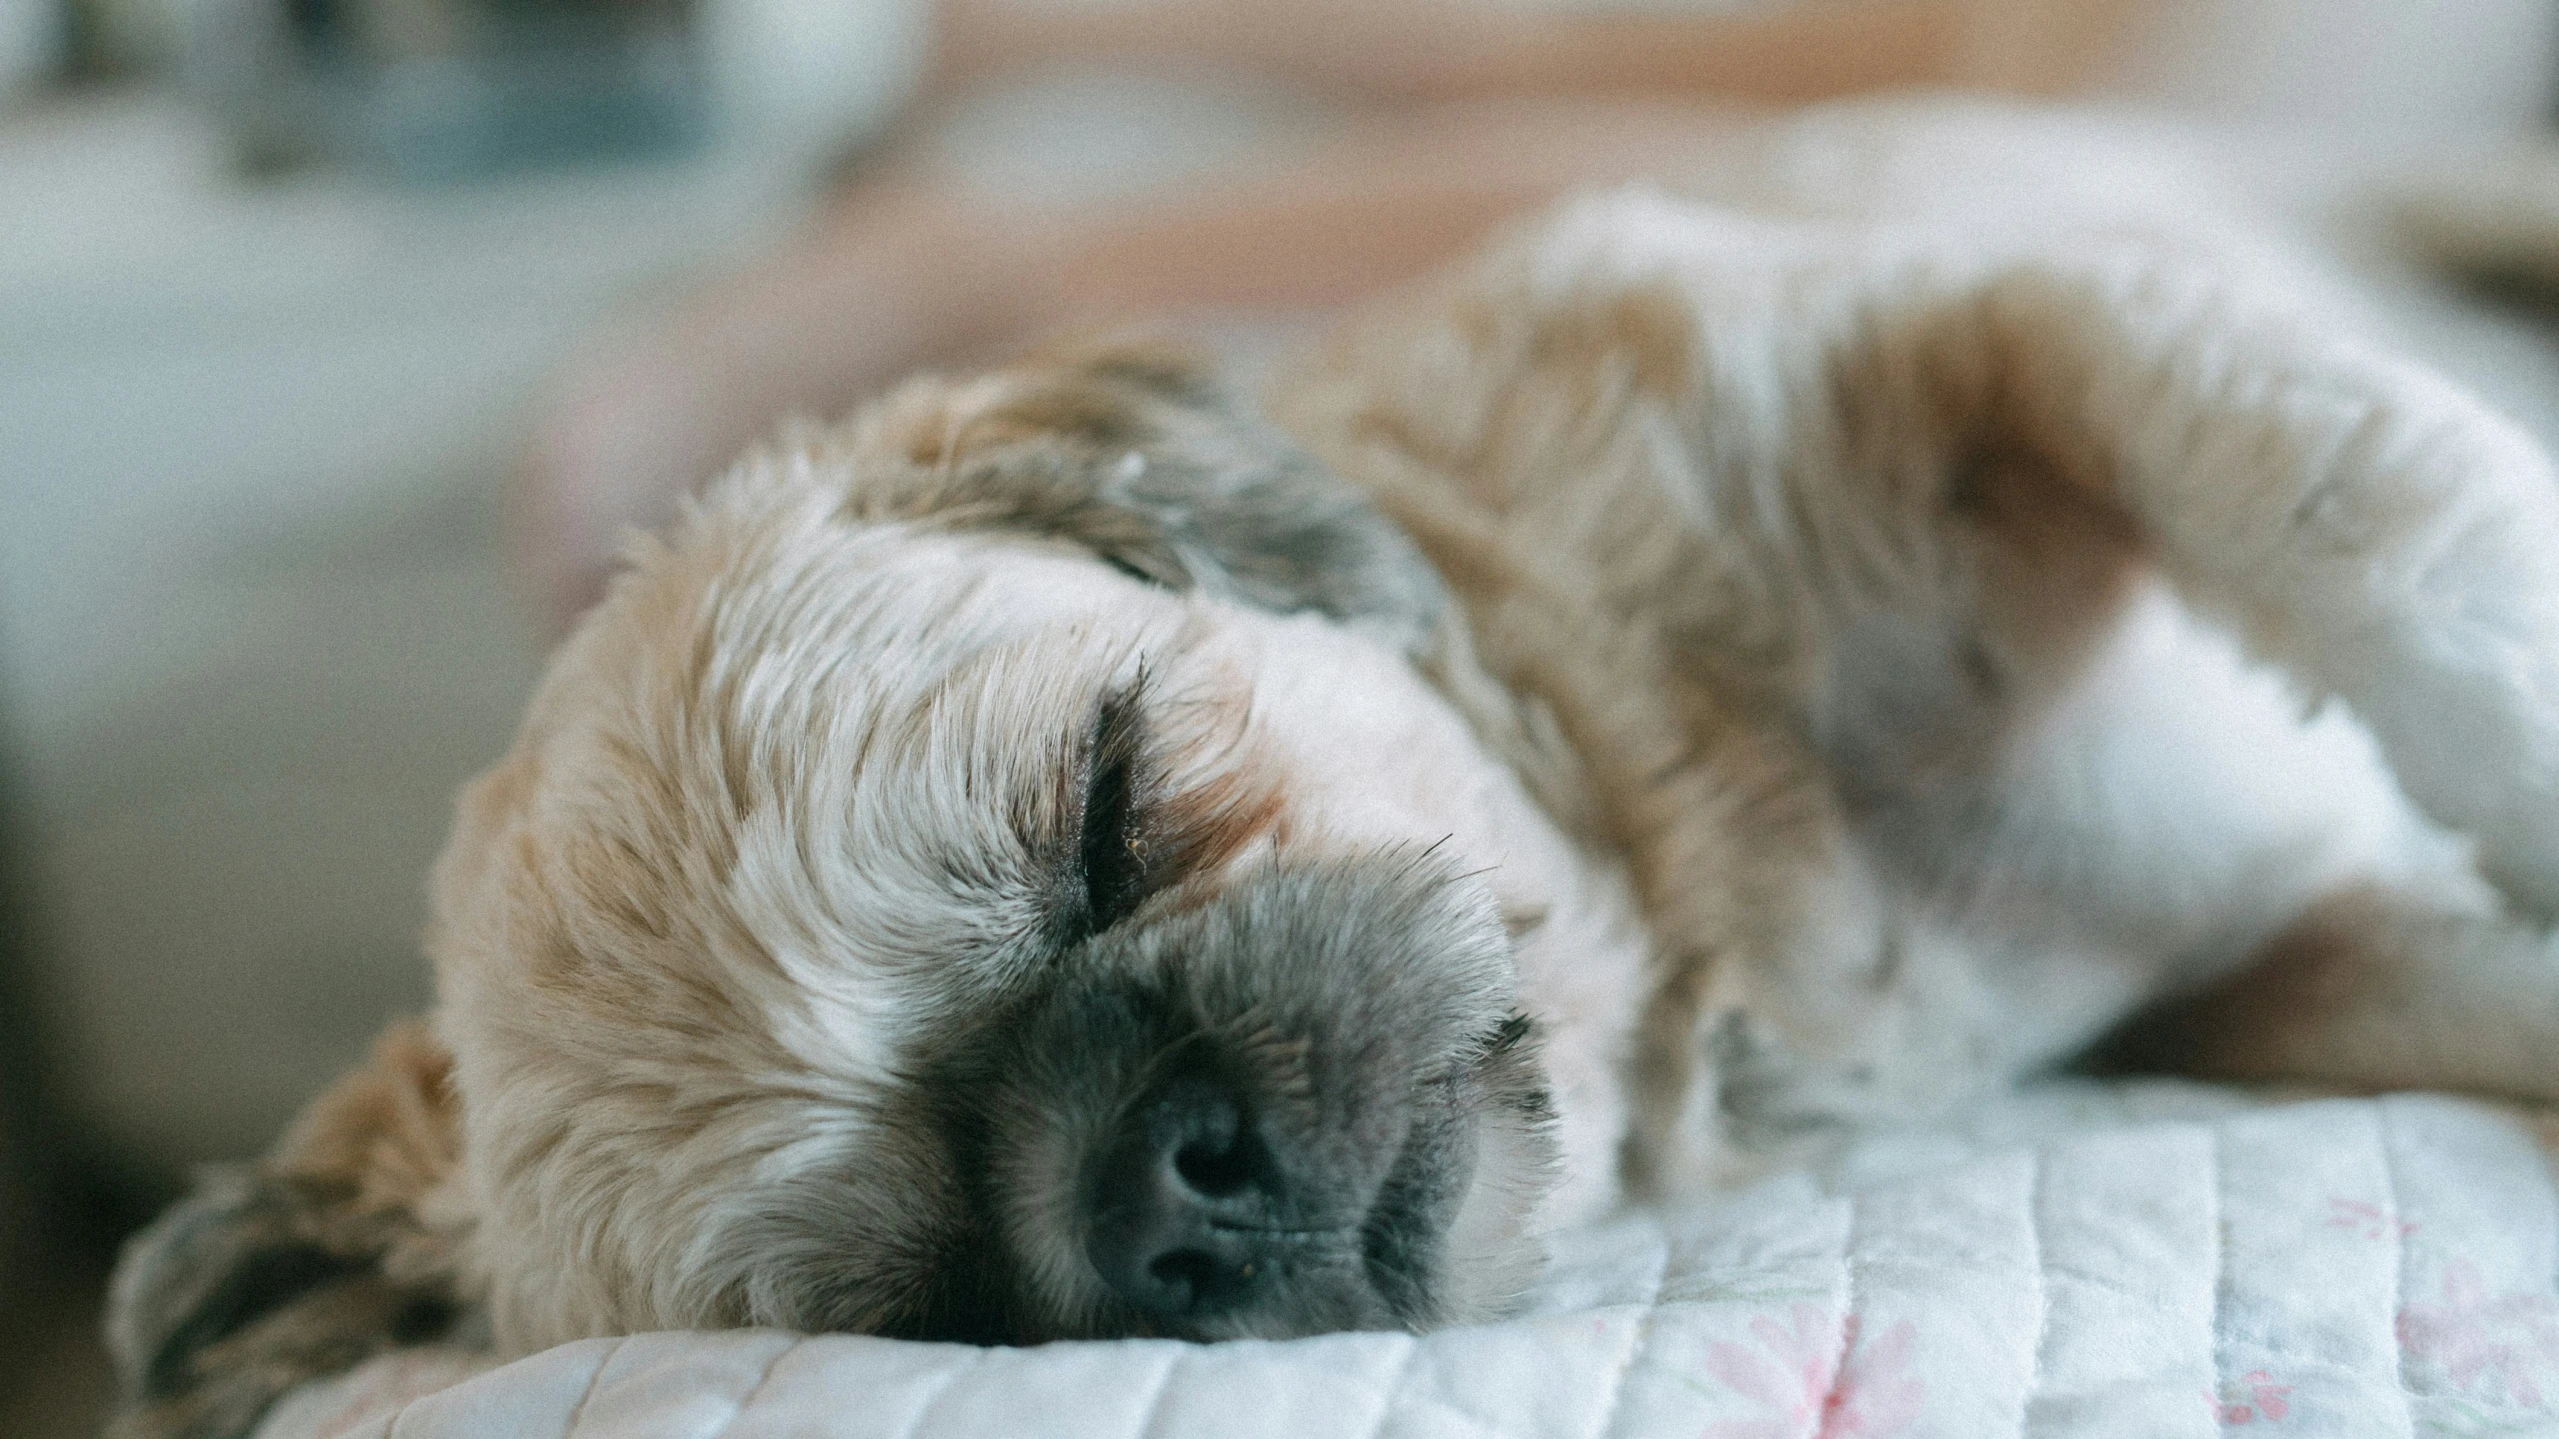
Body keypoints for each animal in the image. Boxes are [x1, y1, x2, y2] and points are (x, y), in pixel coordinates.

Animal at [104, 140, 2559, 1423]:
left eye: (1105, 808)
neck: (1699, 869)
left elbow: (2389, 534)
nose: (1166, 1173)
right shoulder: (2293, 966)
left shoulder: (1986, 329)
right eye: (936, 1289)